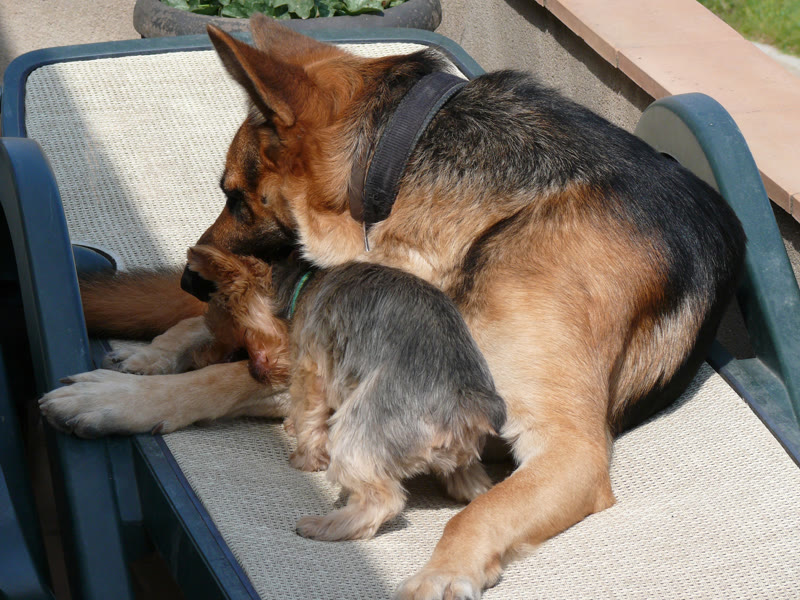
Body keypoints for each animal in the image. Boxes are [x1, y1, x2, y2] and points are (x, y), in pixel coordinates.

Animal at [185, 244, 506, 541]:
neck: (303, 285)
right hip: (460, 455)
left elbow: (309, 410)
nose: (199, 359)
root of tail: (469, 405)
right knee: (474, 483)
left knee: (382, 499)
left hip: (363, 431)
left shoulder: (312, 364)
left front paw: (304, 456)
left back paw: (324, 525)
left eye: (243, 338)